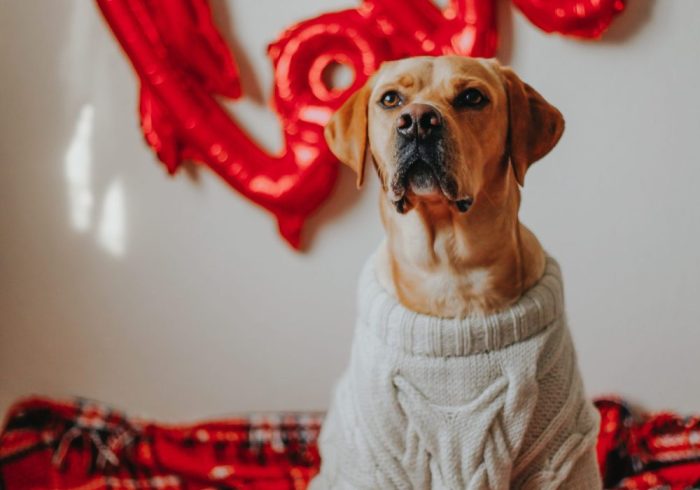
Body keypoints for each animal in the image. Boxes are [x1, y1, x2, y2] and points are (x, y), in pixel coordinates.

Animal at [312, 55, 600, 488]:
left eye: (471, 97)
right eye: (391, 99)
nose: (417, 121)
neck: (450, 272)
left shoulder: (559, 448)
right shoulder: (376, 461)